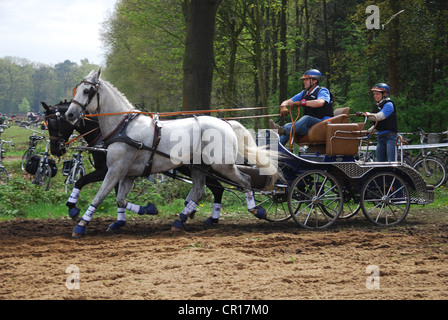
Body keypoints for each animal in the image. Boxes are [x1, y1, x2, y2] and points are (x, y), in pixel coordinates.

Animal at [41, 100, 226, 228]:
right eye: (46, 124)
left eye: (54, 123)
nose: (56, 149)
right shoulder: (118, 172)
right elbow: (117, 197)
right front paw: (121, 220)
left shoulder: (108, 170)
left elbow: (81, 181)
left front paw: (72, 207)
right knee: (213, 188)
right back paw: (202, 214)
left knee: (217, 188)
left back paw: (209, 217)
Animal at [65, 69, 282, 236]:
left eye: (87, 90)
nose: (70, 114)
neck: (124, 127)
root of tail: (226, 123)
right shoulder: (127, 174)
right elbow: (120, 200)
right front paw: (148, 209)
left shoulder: (114, 170)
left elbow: (99, 196)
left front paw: (81, 224)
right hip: (199, 167)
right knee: (200, 191)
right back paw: (181, 220)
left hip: (222, 165)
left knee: (245, 180)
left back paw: (255, 209)